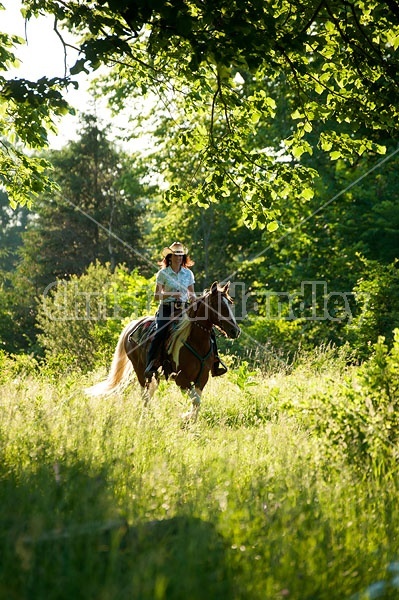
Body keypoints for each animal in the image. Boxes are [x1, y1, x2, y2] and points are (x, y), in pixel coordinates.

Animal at [85, 282, 241, 420]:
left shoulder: (202, 378)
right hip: (140, 371)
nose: (235, 331)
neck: (196, 342)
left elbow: (197, 402)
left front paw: (191, 422)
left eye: (230, 303)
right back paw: (146, 418)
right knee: (145, 395)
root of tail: (133, 324)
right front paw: (185, 417)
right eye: (217, 305)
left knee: (150, 393)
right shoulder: (181, 379)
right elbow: (196, 401)